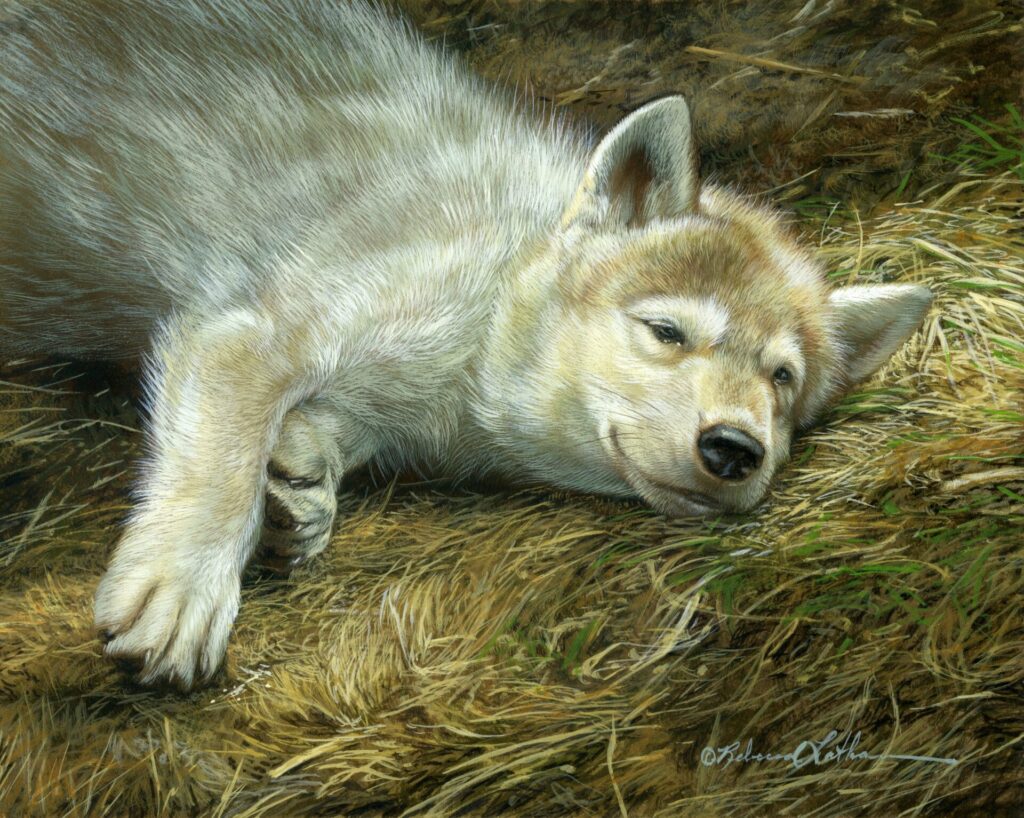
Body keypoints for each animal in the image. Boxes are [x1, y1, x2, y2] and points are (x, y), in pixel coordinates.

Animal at [0, 0, 931, 689]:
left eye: (782, 380)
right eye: (666, 332)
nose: (736, 448)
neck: (490, 305)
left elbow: (320, 439)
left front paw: (300, 488)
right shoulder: (248, 329)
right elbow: (218, 468)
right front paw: (181, 593)